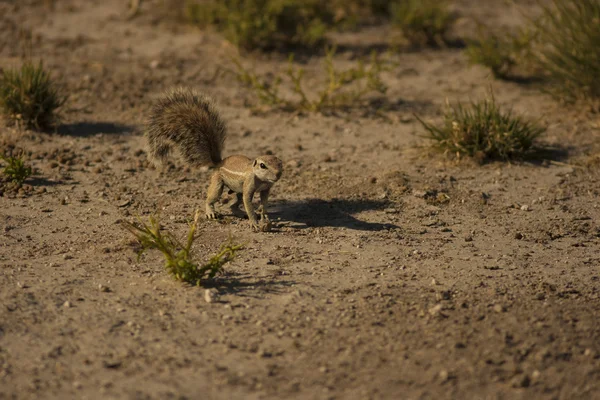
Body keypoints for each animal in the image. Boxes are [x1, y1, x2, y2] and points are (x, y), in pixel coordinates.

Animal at [147, 87, 284, 231]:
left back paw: (240, 213)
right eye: (263, 165)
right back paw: (211, 212)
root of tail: (219, 162)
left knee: (232, 205)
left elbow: (264, 203)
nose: (278, 174)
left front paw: (265, 216)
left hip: (237, 190)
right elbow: (249, 204)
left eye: (281, 163)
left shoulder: (266, 189)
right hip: (218, 183)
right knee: (211, 198)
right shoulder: (248, 185)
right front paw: (254, 222)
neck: (261, 178)